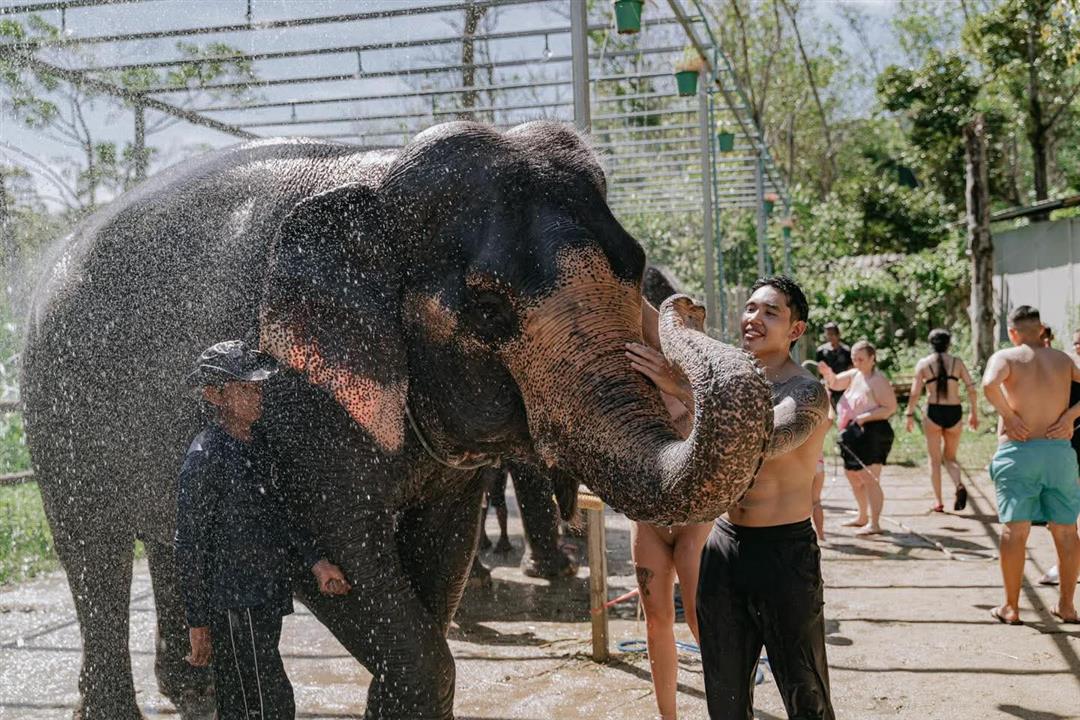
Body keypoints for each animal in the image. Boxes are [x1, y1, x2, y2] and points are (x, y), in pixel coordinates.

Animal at [22, 121, 773, 720]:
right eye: (488, 311)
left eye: (635, 268)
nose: (687, 309)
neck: (377, 185)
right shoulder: (297, 393)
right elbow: (335, 548)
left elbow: (441, 549)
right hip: (56, 407)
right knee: (93, 551)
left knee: (172, 537)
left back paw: (195, 694)